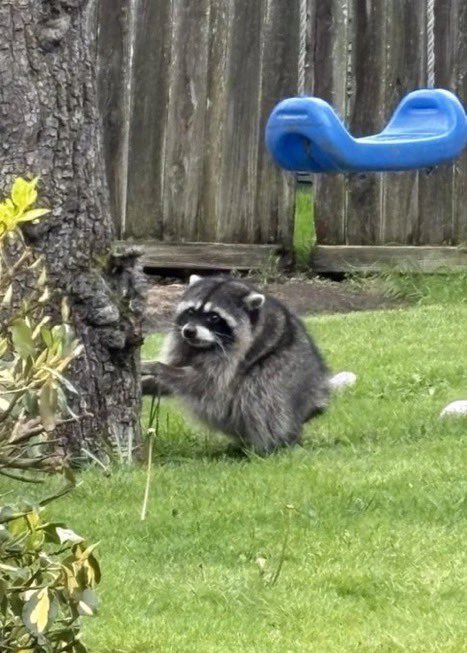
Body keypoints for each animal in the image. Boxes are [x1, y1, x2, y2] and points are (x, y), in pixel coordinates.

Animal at [148, 275, 330, 454]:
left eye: (214, 317)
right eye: (191, 311)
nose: (189, 331)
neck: (204, 346)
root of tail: (315, 399)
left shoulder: (236, 354)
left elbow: (204, 382)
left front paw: (159, 368)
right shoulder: (184, 345)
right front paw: (149, 382)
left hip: (286, 373)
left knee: (261, 391)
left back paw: (271, 445)